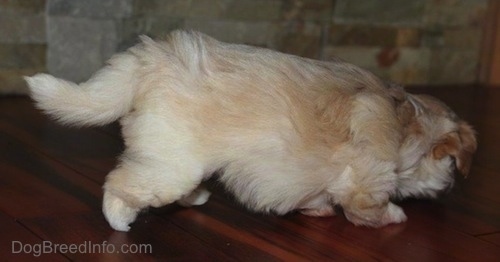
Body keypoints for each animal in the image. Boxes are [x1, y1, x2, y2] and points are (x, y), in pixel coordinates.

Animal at [26, 30, 476, 231]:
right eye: (452, 167)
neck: (407, 127)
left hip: (179, 157)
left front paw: (317, 209)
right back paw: (119, 219)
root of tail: (150, 60)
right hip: (170, 166)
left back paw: (197, 197)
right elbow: (368, 209)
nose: (450, 188)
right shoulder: (366, 180)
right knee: (121, 183)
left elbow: (316, 195)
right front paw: (395, 215)